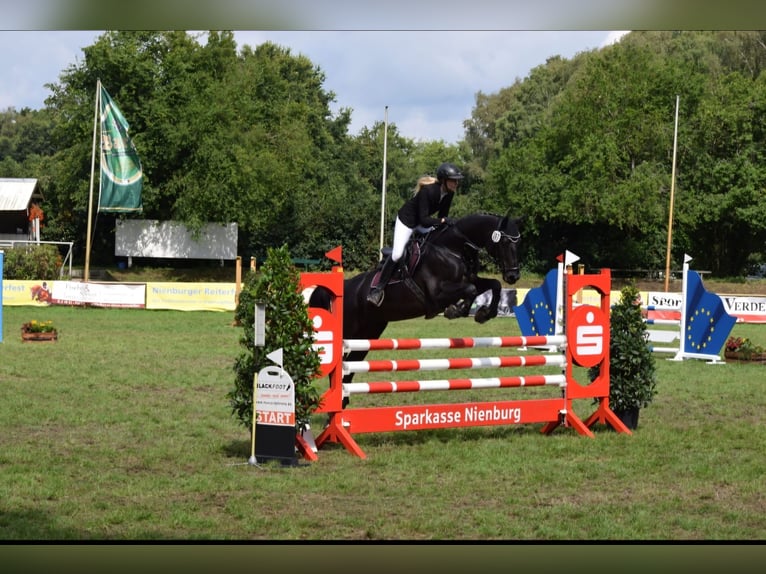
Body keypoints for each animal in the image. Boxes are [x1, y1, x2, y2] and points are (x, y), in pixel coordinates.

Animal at [308, 215, 524, 388]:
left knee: (350, 367)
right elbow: (470, 290)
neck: (452, 249)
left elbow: (493, 285)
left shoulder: (470, 280)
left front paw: (484, 314)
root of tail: (345, 287)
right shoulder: (437, 294)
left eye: (518, 243)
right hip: (350, 329)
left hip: (368, 334)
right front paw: (456, 310)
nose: (513, 276)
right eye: (506, 243)